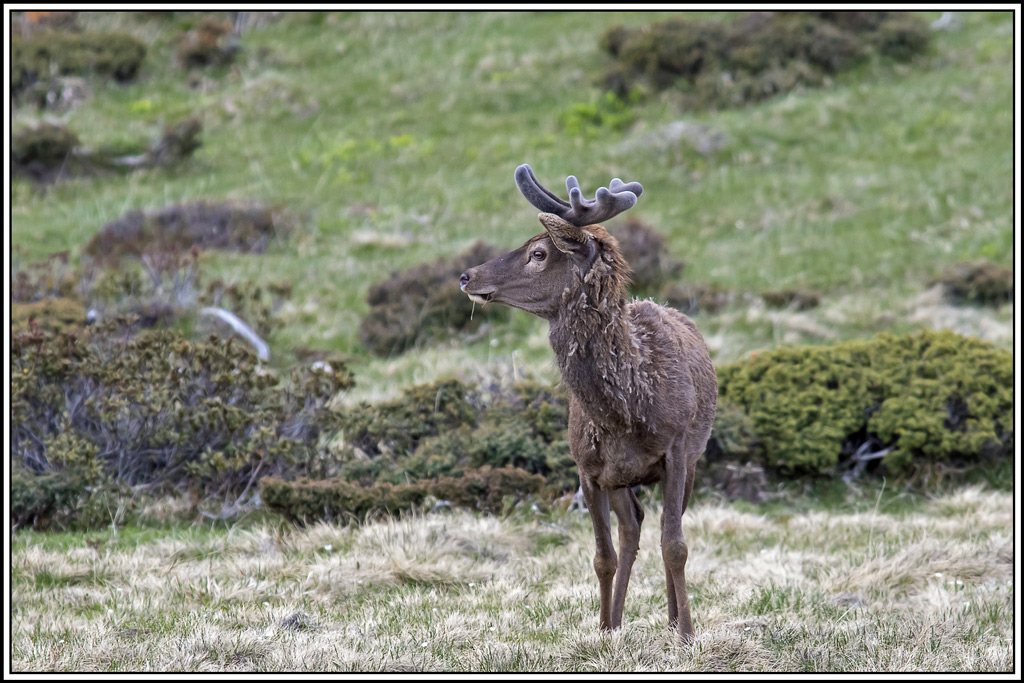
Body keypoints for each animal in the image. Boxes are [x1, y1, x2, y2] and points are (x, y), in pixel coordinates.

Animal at [459, 164, 717, 643]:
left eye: (539, 252)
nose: (467, 276)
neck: (627, 409)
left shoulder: (676, 451)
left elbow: (675, 546)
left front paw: (687, 634)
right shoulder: (588, 467)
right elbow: (603, 556)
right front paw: (602, 631)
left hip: (692, 461)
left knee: (664, 530)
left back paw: (672, 619)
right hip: (620, 480)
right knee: (632, 528)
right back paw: (617, 623)